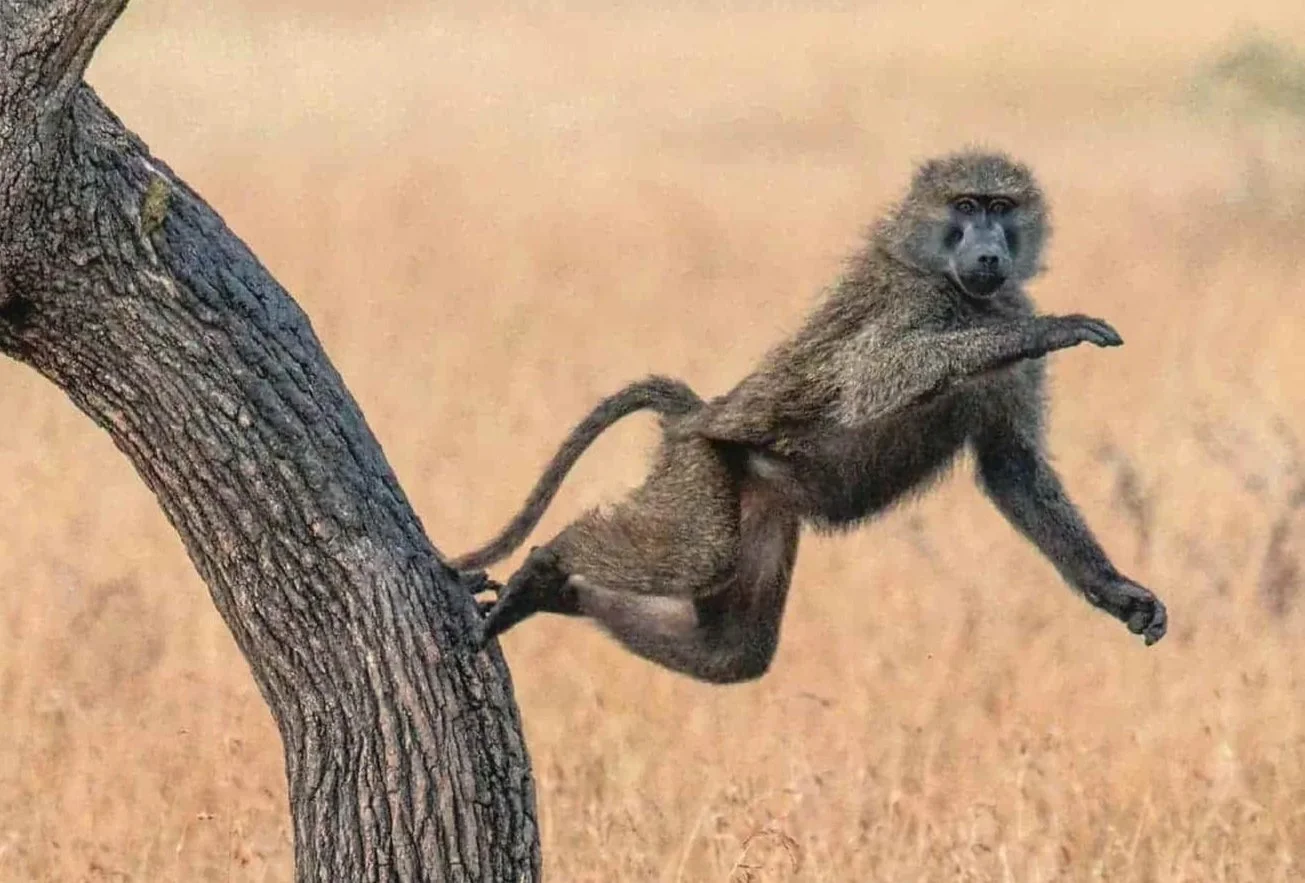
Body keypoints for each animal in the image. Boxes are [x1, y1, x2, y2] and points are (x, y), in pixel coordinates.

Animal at [462, 150, 1168, 683]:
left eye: (1001, 209)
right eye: (965, 208)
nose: (989, 252)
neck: (962, 294)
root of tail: (697, 414)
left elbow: (1011, 464)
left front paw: (1116, 590)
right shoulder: (912, 301)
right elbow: (869, 377)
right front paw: (1054, 329)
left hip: (762, 504)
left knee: (734, 652)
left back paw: (559, 594)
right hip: (702, 470)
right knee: (697, 554)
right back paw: (545, 566)